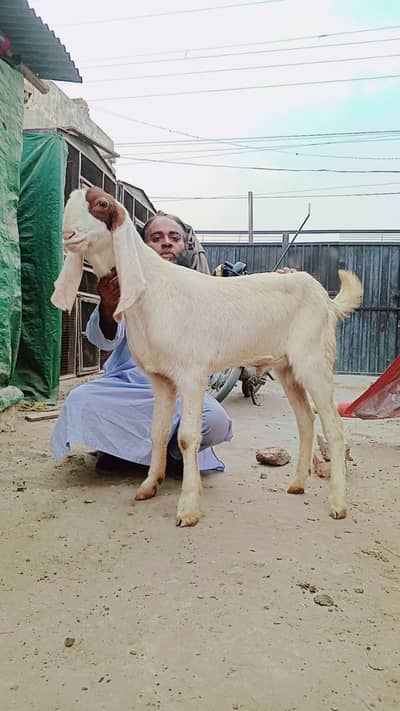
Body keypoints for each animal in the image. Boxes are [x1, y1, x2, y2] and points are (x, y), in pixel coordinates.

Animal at [51, 187, 363, 527]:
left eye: (101, 204)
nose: (67, 235)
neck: (152, 288)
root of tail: (327, 301)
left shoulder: (192, 375)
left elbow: (187, 437)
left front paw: (188, 507)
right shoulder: (161, 379)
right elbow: (157, 431)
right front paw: (149, 485)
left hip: (314, 361)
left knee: (333, 427)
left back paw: (337, 503)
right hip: (287, 368)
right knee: (306, 420)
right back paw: (296, 484)